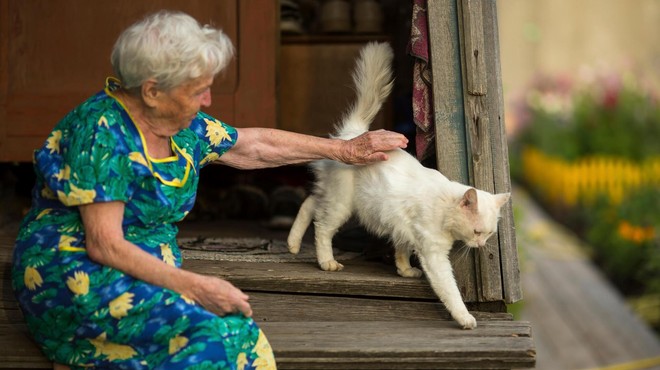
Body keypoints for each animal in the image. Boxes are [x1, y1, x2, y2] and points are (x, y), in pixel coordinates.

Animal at [284, 42, 510, 328]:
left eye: (489, 234)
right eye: (478, 232)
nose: (480, 246)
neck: (444, 207)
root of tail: (353, 135)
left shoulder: (402, 226)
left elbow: (401, 248)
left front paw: (404, 270)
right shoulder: (434, 254)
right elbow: (449, 290)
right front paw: (465, 318)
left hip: (333, 196)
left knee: (309, 203)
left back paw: (292, 244)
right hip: (341, 205)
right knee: (322, 227)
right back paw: (327, 262)